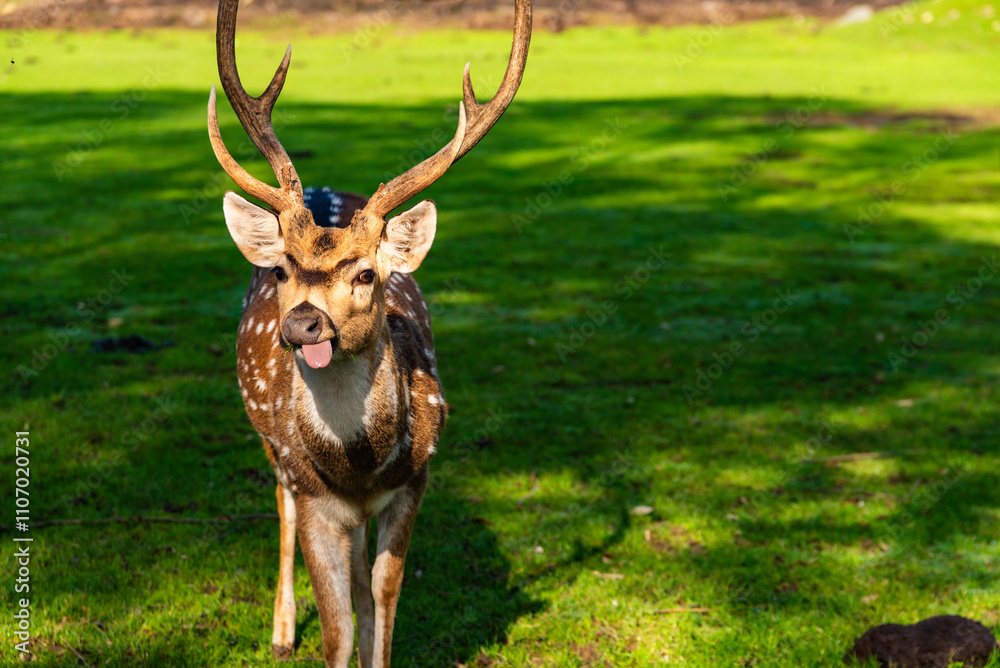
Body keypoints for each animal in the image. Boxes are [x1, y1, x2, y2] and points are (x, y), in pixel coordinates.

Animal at [205, 0, 531, 666]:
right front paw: (308, 633)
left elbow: (380, 595)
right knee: (278, 504)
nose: (302, 322)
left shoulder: (416, 479)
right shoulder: (313, 495)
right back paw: (281, 631)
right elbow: (336, 625)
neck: (358, 469)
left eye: (366, 274)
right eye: (282, 269)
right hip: (272, 448)